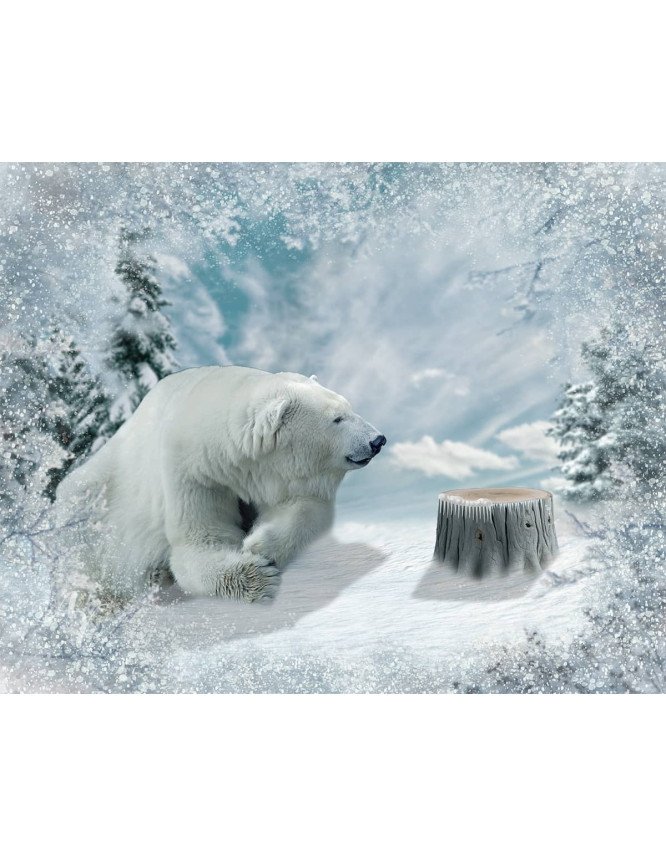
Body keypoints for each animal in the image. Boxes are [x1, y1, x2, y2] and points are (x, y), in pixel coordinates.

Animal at [56, 366, 386, 602]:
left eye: (348, 407)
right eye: (337, 419)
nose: (378, 440)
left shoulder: (278, 475)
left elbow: (304, 508)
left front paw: (259, 544)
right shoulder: (192, 473)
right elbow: (198, 543)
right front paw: (258, 577)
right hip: (91, 512)